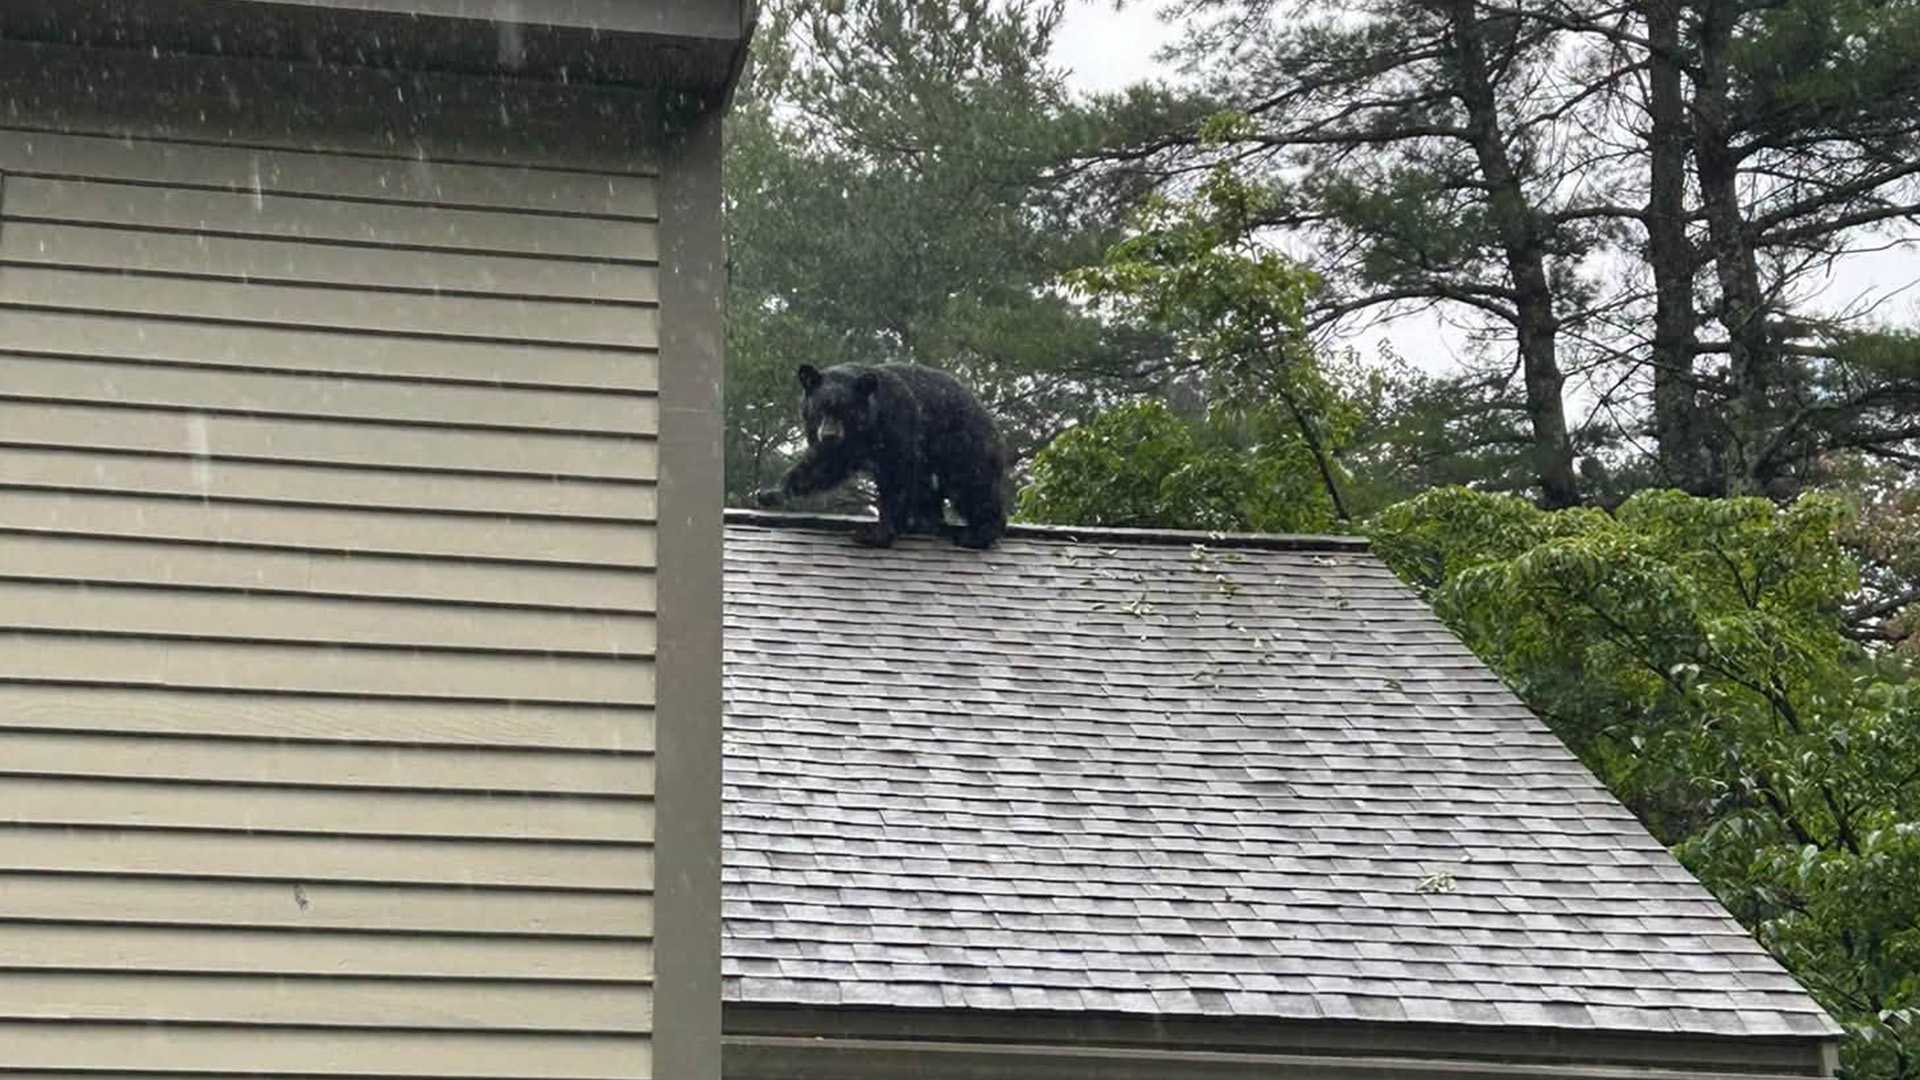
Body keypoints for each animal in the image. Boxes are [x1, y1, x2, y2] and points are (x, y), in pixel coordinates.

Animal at [752, 362, 1008, 549]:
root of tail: (990, 421)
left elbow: (897, 477)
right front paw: (770, 493)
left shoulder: (898, 426)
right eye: (820, 408)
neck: (866, 430)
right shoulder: (842, 447)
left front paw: (875, 534)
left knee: (972, 485)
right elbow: (821, 466)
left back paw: (979, 534)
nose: (829, 435)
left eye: (846, 410)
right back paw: (925, 522)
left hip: (961, 446)